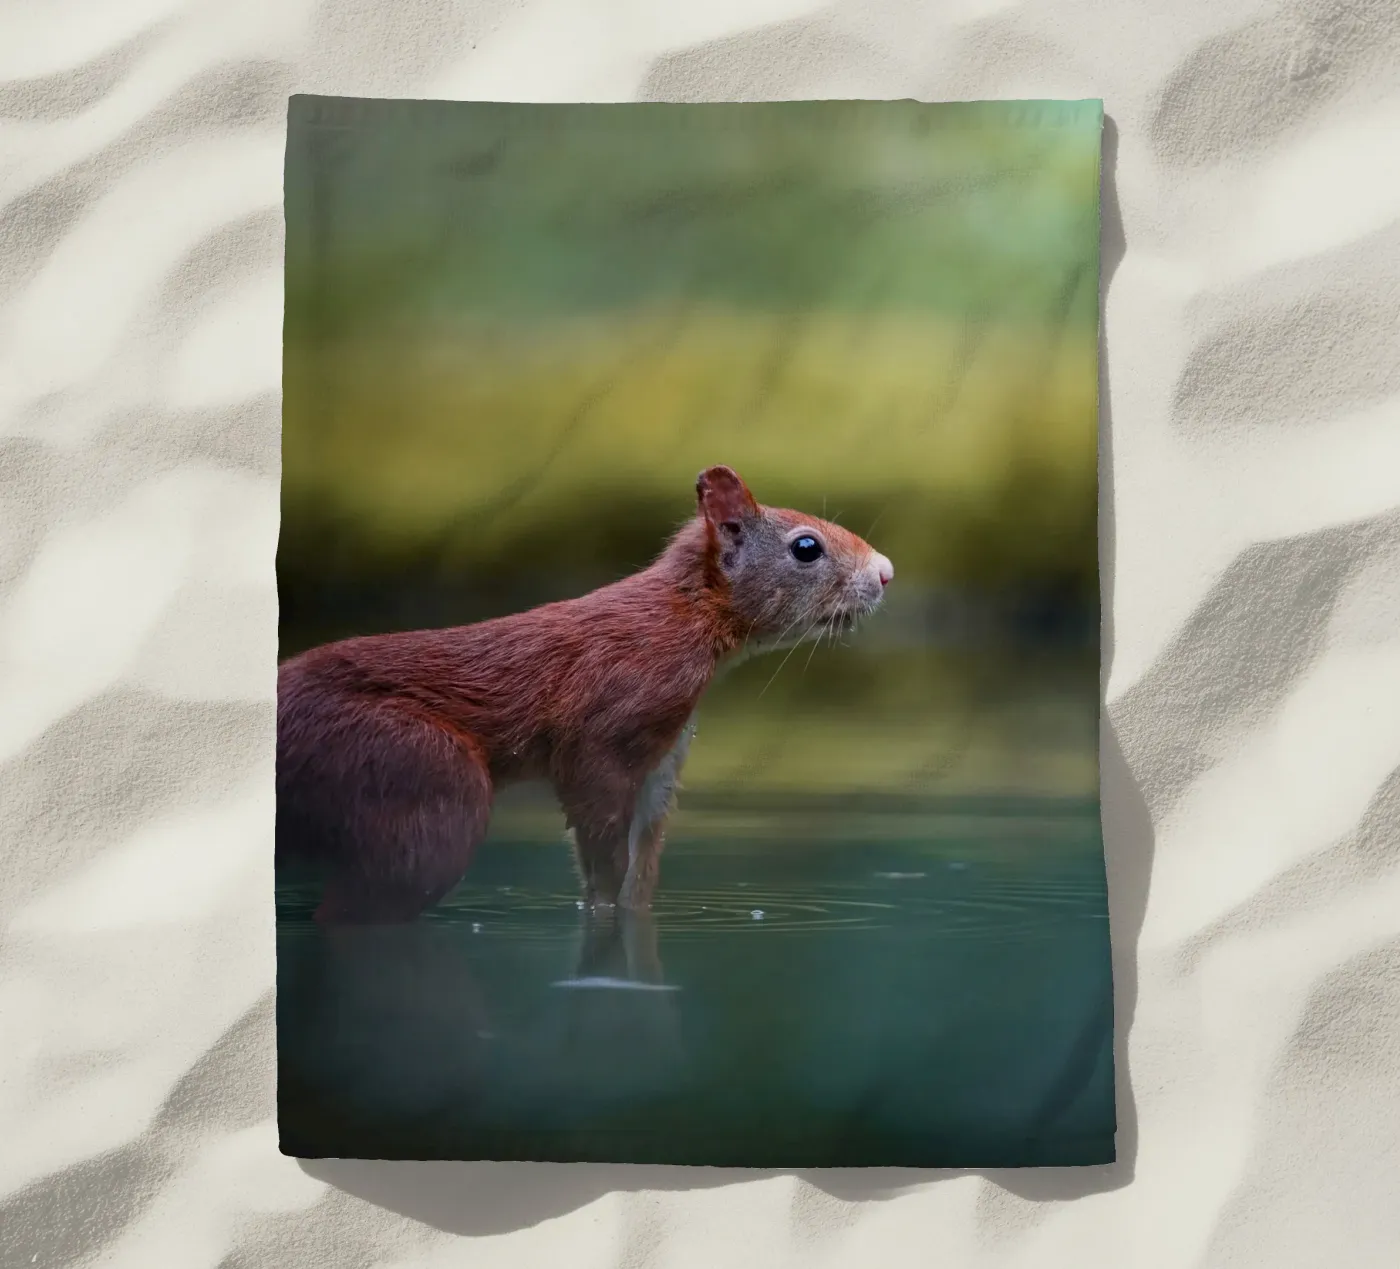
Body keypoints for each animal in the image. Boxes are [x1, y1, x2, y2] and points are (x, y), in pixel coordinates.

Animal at [276, 465, 893, 924]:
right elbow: (601, 843)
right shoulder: (607, 727)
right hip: (414, 772)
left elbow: (641, 866)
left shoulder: (664, 757)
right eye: (806, 547)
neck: (684, 618)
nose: (885, 572)